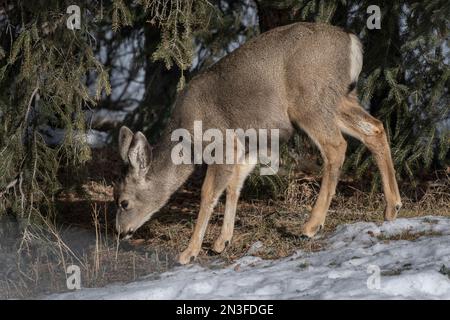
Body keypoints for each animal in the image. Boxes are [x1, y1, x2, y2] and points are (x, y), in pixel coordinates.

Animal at [114, 21, 402, 262]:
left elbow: (209, 193)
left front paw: (189, 252)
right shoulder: (251, 144)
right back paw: (392, 208)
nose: (120, 231)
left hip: (310, 100)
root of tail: (352, 41)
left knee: (336, 146)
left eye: (124, 202)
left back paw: (311, 225)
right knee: (375, 128)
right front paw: (221, 242)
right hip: (340, 98)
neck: (187, 139)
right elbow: (234, 185)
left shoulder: (223, 143)